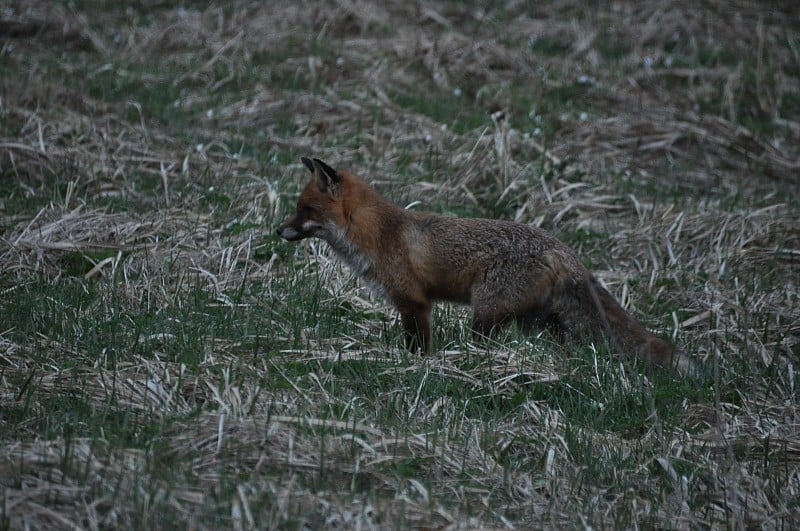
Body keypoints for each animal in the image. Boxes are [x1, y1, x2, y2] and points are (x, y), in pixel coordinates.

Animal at [278, 157, 692, 374]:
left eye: (305, 209)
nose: (277, 230)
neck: (379, 234)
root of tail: (562, 248)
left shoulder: (414, 302)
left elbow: (418, 344)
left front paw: (417, 366)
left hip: (486, 314)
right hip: (541, 324)